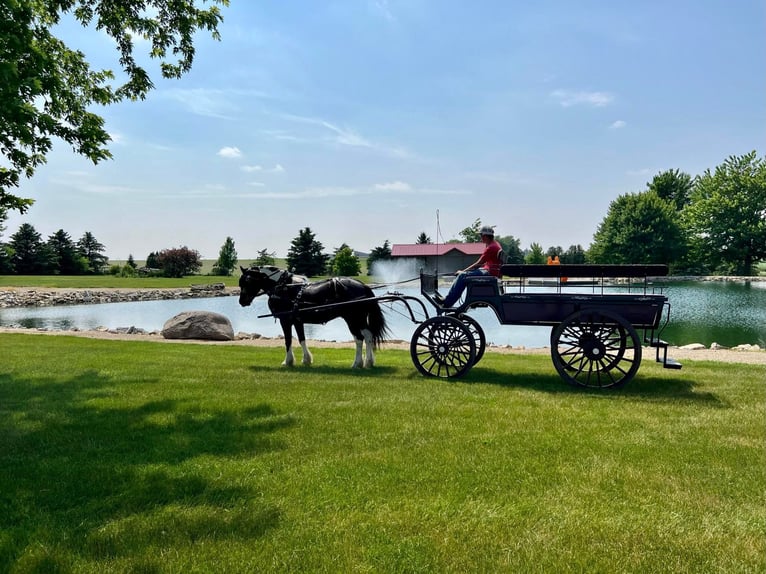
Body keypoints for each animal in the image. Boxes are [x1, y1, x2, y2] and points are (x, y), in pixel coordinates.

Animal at [238, 266, 390, 368]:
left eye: (247, 281)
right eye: (241, 283)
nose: (242, 301)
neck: (283, 287)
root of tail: (363, 286)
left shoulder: (285, 320)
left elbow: (288, 341)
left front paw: (287, 361)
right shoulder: (297, 321)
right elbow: (301, 339)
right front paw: (306, 360)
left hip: (352, 318)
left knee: (359, 338)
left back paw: (356, 363)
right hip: (360, 319)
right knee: (368, 336)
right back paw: (368, 362)